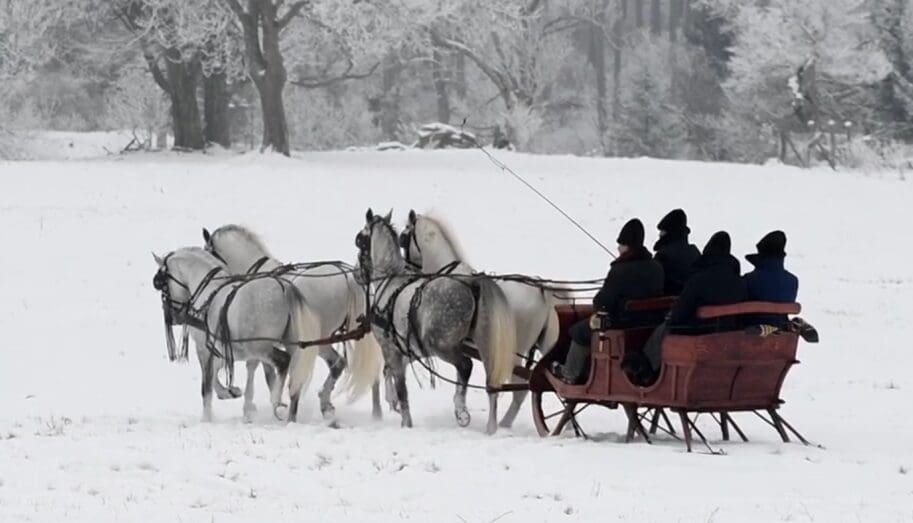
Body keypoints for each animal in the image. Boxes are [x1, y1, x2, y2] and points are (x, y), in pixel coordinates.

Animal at [151, 248, 320, 424]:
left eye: (161, 284)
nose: (174, 316)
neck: (208, 293)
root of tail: (284, 288)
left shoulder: (204, 348)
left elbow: (207, 384)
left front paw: (207, 417)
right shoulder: (225, 350)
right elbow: (230, 375)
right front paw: (235, 396)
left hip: (260, 346)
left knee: (283, 362)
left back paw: (276, 400)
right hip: (292, 345)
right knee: (295, 379)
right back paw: (290, 415)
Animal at [201, 223, 382, 424]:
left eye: (208, 251)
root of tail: (348, 277)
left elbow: (263, 372)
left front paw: (262, 406)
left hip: (314, 341)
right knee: (356, 367)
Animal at [356, 209, 516, 434]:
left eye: (359, 240)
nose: (357, 274)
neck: (390, 282)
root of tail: (472, 283)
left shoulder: (390, 347)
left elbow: (401, 387)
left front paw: (406, 422)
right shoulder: (411, 349)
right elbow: (389, 373)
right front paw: (392, 401)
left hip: (440, 345)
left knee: (465, 366)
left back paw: (461, 409)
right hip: (486, 343)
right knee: (491, 382)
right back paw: (489, 427)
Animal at [400, 210, 564, 430]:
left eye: (403, 239)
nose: (405, 270)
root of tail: (541, 291)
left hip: (513, 352)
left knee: (516, 389)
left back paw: (500, 424)